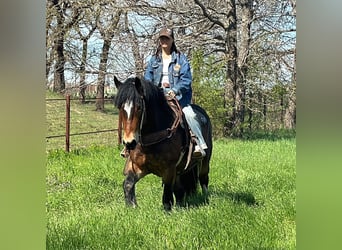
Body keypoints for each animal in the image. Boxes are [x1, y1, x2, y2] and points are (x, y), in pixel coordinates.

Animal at [113, 76, 212, 211]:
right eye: (120, 108)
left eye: (139, 107)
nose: (129, 142)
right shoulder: (138, 167)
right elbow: (128, 184)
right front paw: (131, 207)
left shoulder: (169, 169)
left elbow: (167, 195)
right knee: (180, 189)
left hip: (205, 160)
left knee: (203, 179)